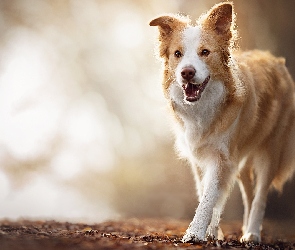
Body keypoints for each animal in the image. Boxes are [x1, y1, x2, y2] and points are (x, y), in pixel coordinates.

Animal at [151, 1, 295, 243]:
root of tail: (275, 60)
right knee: (248, 194)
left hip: (270, 151)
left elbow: (210, 197)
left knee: (259, 196)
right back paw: (243, 229)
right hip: (241, 161)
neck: (203, 107)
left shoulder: (221, 157)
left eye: (205, 52)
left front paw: (195, 232)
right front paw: (211, 231)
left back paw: (253, 233)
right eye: (177, 54)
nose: (186, 72)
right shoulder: (202, 157)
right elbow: (206, 193)